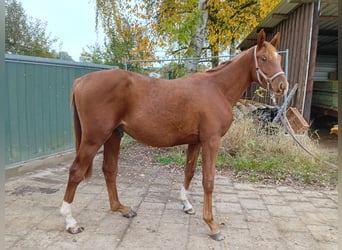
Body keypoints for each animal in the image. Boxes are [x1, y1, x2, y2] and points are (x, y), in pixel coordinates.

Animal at [60, 29, 288, 240]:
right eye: (263, 58)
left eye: (279, 58)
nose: (282, 86)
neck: (217, 89)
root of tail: (81, 80)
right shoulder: (211, 141)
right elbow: (208, 180)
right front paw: (212, 225)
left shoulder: (196, 142)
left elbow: (189, 172)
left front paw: (186, 204)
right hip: (94, 138)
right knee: (76, 171)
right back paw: (70, 222)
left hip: (114, 135)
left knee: (109, 169)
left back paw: (121, 208)